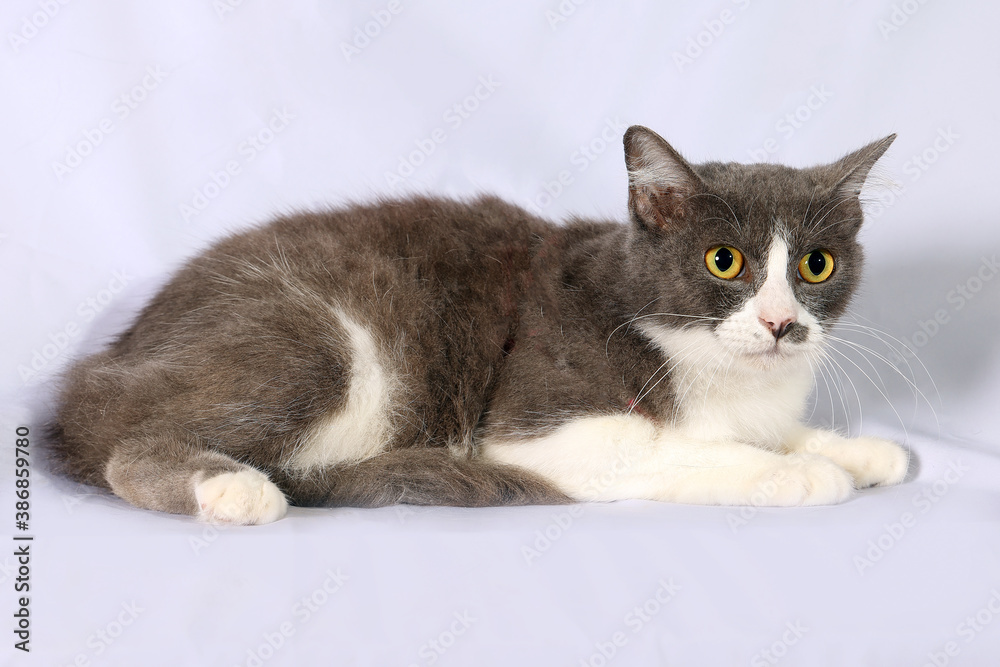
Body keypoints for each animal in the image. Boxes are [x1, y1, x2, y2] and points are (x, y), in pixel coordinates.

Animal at [45, 124, 908, 520]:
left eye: (816, 265)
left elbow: (773, 429)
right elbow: (693, 449)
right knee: (136, 444)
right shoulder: (541, 424)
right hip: (318, 341)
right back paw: (232, 486)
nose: (780, 323)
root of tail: (97, 367)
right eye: (724, 261)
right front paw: (805, 470)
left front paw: (858, 449)